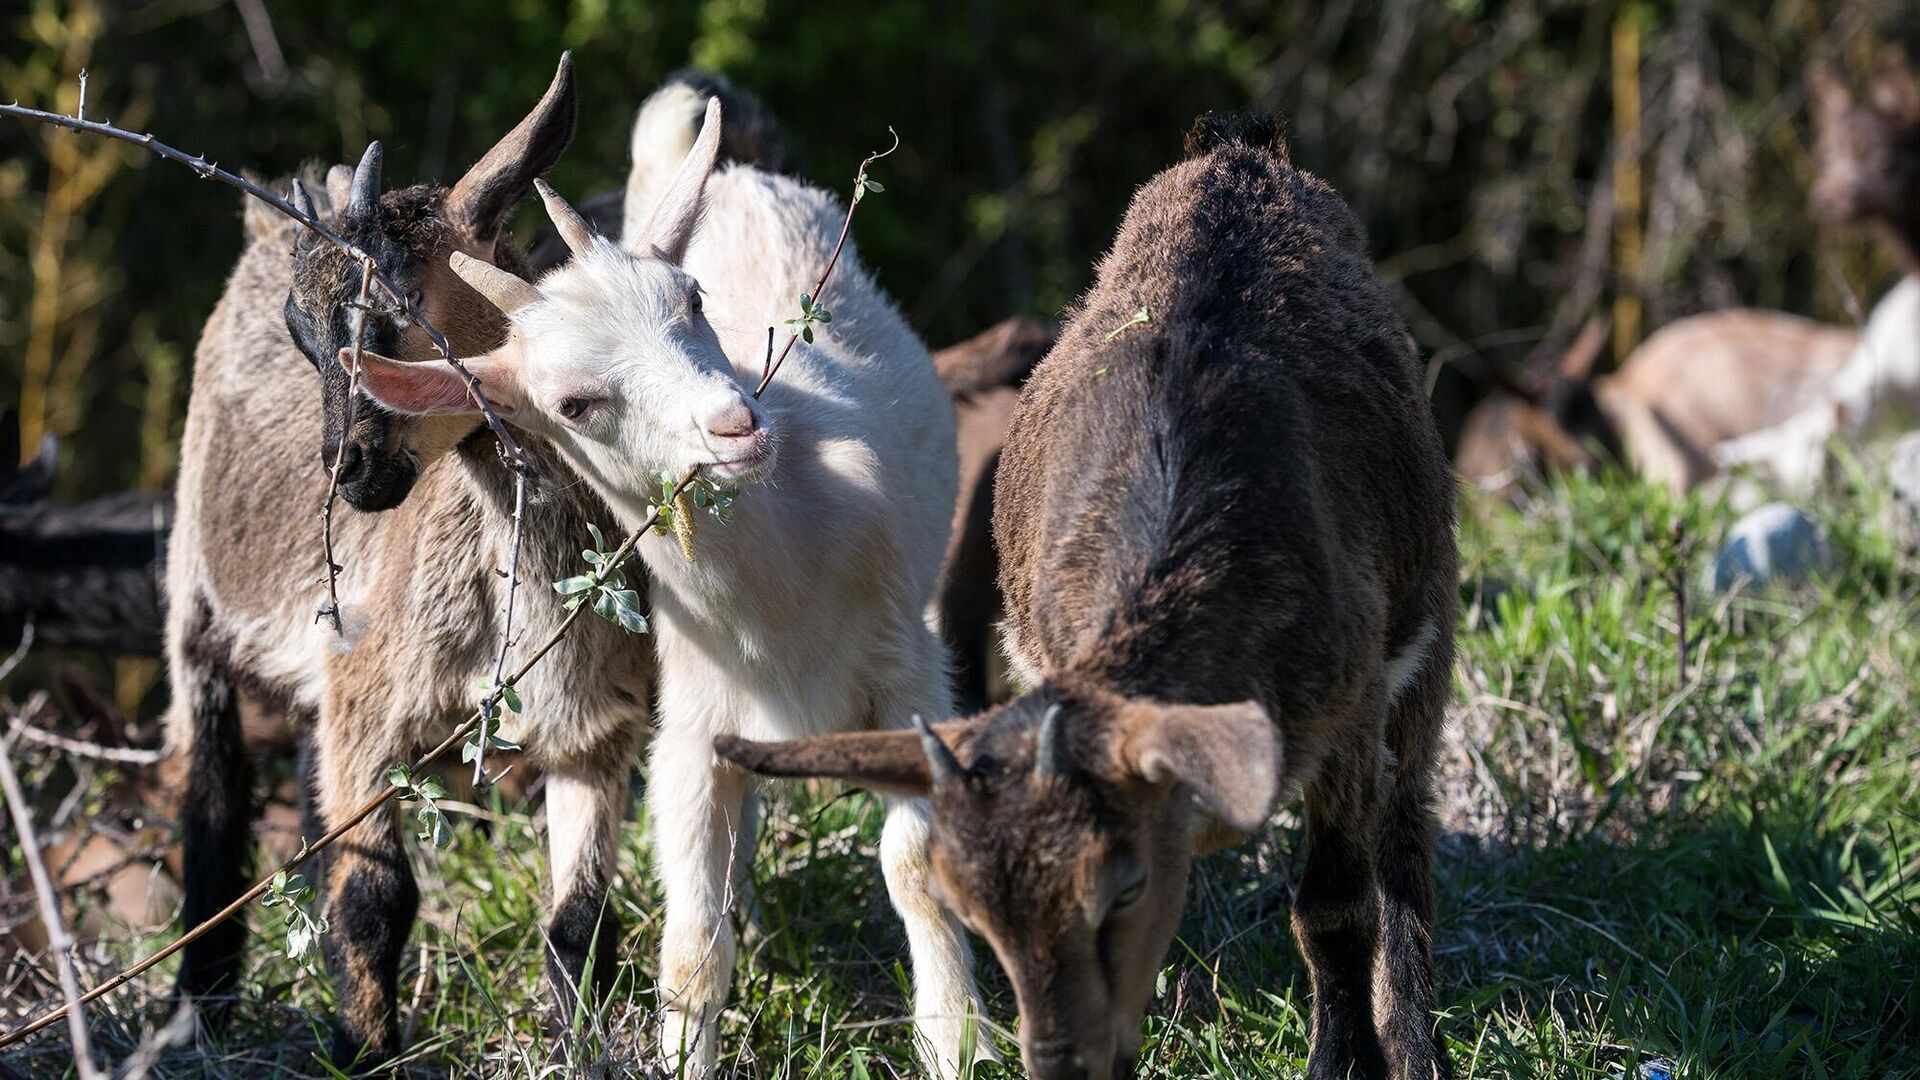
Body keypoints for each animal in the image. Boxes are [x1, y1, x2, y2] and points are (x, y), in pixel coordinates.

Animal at [163, 56, 652, 1060]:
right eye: (305, 334)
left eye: (402, 310)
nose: (349, 470)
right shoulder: (368, 706)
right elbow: (373, 898)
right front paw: (362, 1054)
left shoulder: (590, 724)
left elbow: (581, 924)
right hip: (193, 594)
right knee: (211, 795)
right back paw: (197, 1011)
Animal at [353, 98, 990, 1068]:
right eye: (574, 403)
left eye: (693, 301)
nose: (735, 425)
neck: (778, 588)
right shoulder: (690, 724)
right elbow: (690, 944)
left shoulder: (909, 679)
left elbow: (917, 870)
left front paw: (958, 1043)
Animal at [718, 115, 1451, 1076]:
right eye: (977, 917)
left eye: (1121, 888)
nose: (1062, 1055)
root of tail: (1238, 151)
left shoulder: (1351, 707)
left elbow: (1335, 907)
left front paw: (1343, 1060)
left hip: (1428, 635)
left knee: (1405, 842)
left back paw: (1418, 1045)